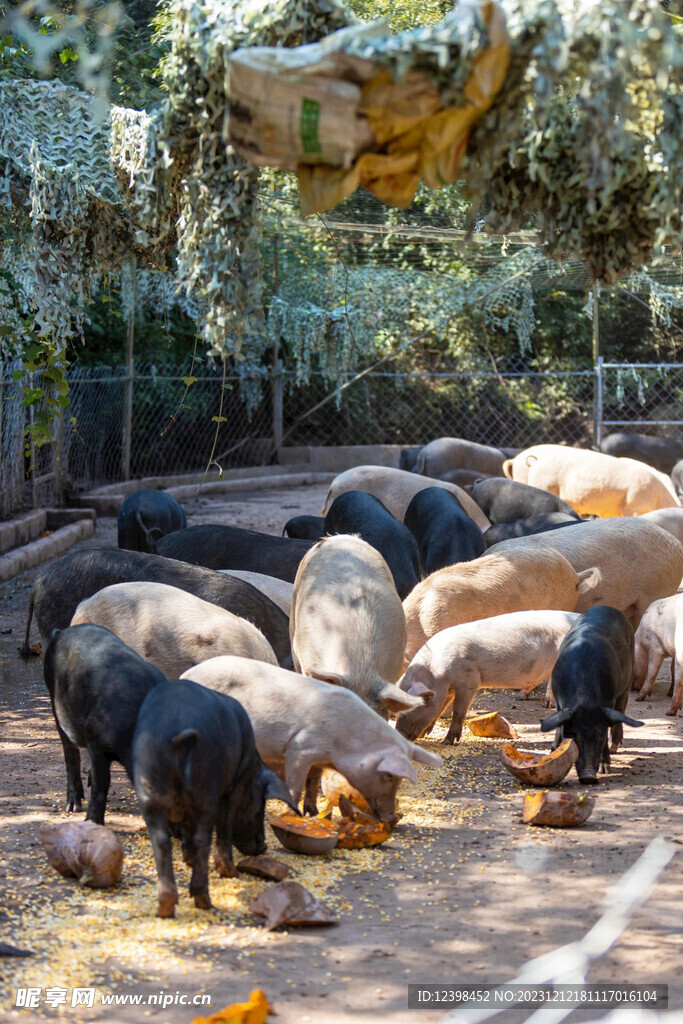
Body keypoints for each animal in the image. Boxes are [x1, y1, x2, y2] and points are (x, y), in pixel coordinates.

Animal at [179, 655, 440, 823]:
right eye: (388, 776)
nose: (391, 817)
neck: (346, 742)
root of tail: (184, 675)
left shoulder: (318, 759)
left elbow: (313, 783)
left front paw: (314, 813)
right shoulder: (300, 747)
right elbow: (295, 786)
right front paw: (291, 815)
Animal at [397, 606, 581, 745]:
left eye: (413, 707)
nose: (400, 734)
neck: (435, 672)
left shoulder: (470, 680)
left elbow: (458, 711)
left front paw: (447, 742)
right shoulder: (448, 689)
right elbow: (440, 707)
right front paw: (427, 733)